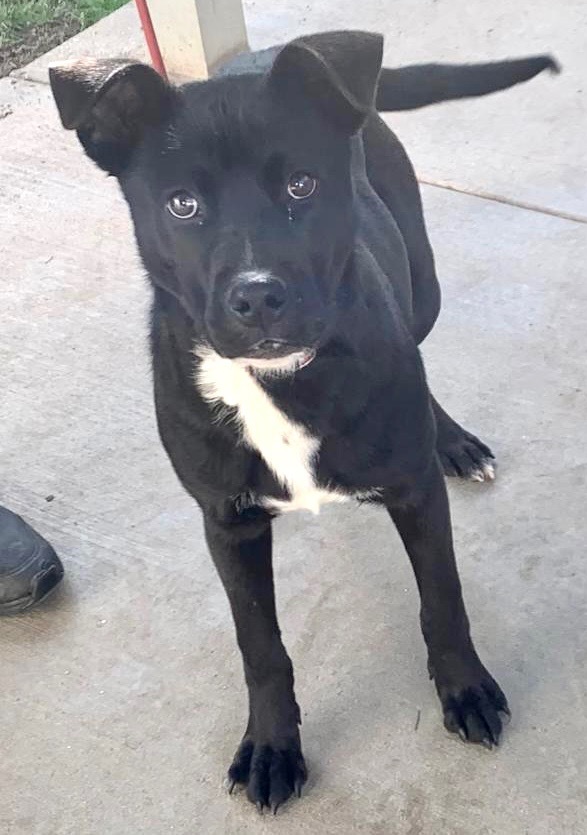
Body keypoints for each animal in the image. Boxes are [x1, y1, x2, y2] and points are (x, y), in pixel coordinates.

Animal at [49, 31, 556, 808]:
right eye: (182, 204)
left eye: (301, 186)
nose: (257, 297)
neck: (276, 382)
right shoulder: (226, 523)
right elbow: (259, 646)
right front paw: (272, 746)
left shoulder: (413, 492)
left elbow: (442, 598)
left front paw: (464, 687)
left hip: (423, 283)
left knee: (418, 337)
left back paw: (451, 439)